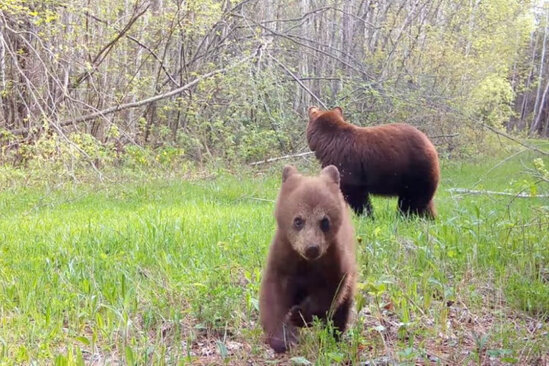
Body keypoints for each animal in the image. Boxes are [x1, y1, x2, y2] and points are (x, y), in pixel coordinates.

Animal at [260, 165, 358, 352]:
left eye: (325, 221)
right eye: (298, 220)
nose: (312, 248)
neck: (307, 263)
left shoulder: (335, 260)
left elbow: (330, 292)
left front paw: (298, 316)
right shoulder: (283, 255)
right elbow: (274, 293)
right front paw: (283, 338)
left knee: (342, 309)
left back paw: (334, 336)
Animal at [306, 107, 438, 219]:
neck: (327, 141)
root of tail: (431, 145)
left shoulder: (345, 162)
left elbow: (354, 192)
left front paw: (366, 215)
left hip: (415, 171)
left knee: (412, 200)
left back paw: (404, 216)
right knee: (424, 201)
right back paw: (429, 218)